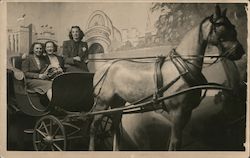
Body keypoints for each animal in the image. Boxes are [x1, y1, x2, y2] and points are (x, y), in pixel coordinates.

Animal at [89, 4, 245, 151]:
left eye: (233, 26)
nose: (240, 51)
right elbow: (175, 143)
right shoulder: (177, 113)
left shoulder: (186, 113)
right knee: (94, 127)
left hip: (117, 103)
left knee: (115, 128)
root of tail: (103, 67)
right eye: (221, 26)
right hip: (102, 103)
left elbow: (174, 143)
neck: (183, 68)